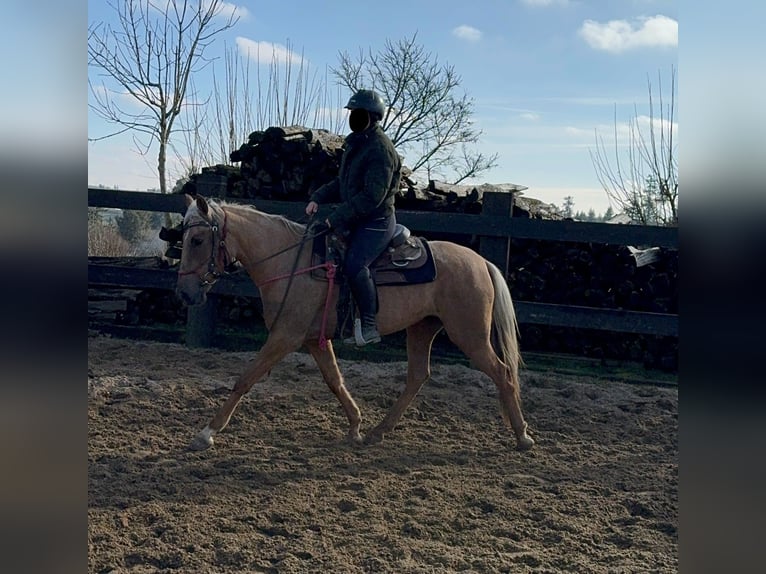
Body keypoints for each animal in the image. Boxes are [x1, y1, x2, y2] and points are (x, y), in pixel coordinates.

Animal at [176, 195, 536, 454]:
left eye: (197, 240)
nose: (184, 293)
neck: (293, 263)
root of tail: (481, 262)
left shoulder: (284, 336)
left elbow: (245, 379)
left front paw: (206, 433)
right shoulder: (314, 339)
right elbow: (335, 380)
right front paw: (356, 427)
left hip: (470, 335)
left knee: (503, 373)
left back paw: (522, 436)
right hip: (422, 328)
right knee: (418, 376)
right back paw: (379, 431)